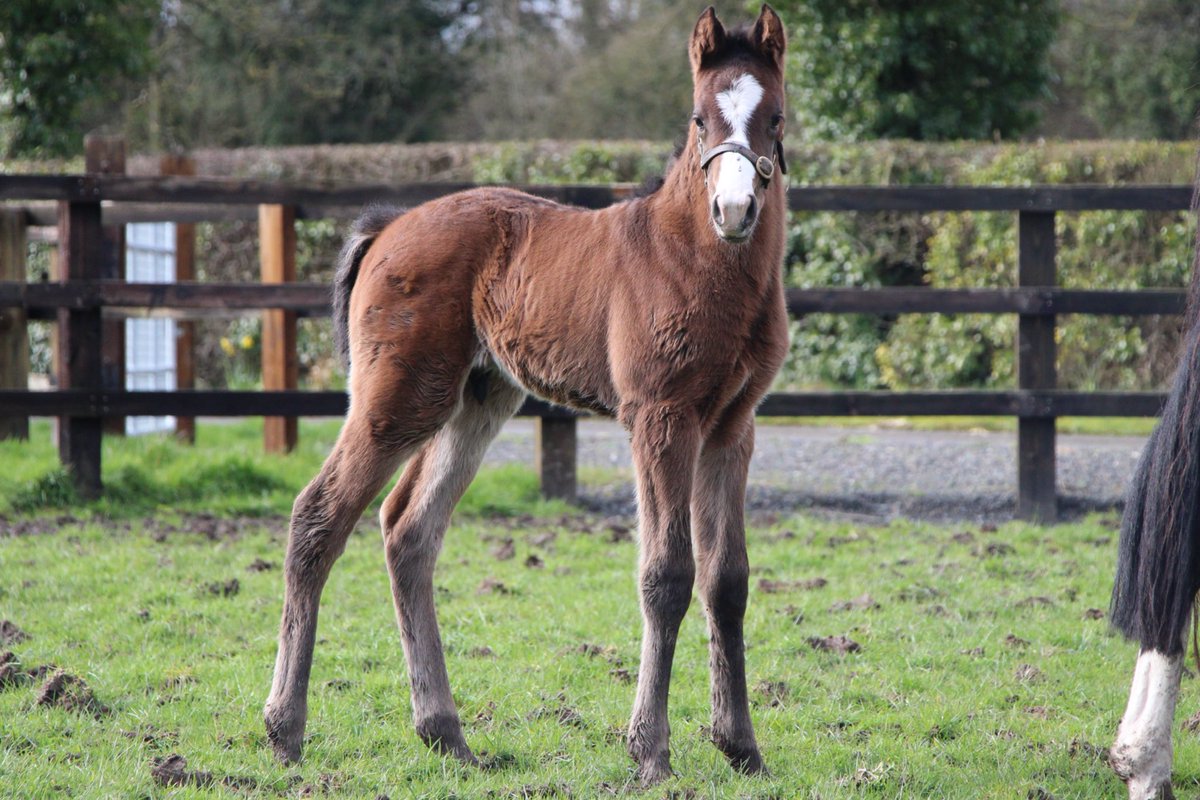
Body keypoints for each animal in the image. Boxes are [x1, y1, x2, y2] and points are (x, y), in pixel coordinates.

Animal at [262, 5, 790, 784]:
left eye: (775, 120)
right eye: (699, 119)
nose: (733, 209)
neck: (696, 258)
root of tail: (389, 226)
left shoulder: (733, 425)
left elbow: (728, 580)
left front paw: (742, 746)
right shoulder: (660, 418)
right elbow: (666, 574)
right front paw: (651, 752)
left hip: (476, 401)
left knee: (409, 532)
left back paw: (446, 734)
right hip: (398, 399)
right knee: (317, 519)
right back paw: (285, 731)